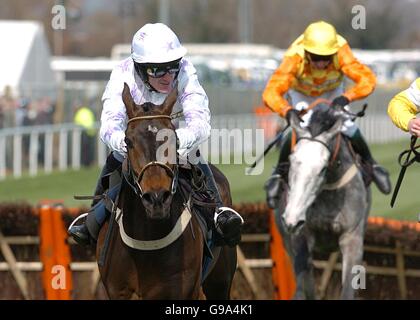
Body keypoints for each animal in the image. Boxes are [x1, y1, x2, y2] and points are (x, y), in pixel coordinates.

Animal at [96, 83, 238, 300]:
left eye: (174, 140)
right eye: (128, 141)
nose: (156, 198)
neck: (146, 243)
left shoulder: (182, 290)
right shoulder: (115, 291)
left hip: (220, 282)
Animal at [280, 105, 372, 300]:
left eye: (323, 168)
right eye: (291, 161)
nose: (291, 219)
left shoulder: (352, 236)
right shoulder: (301, 237)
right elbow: (303, 286)